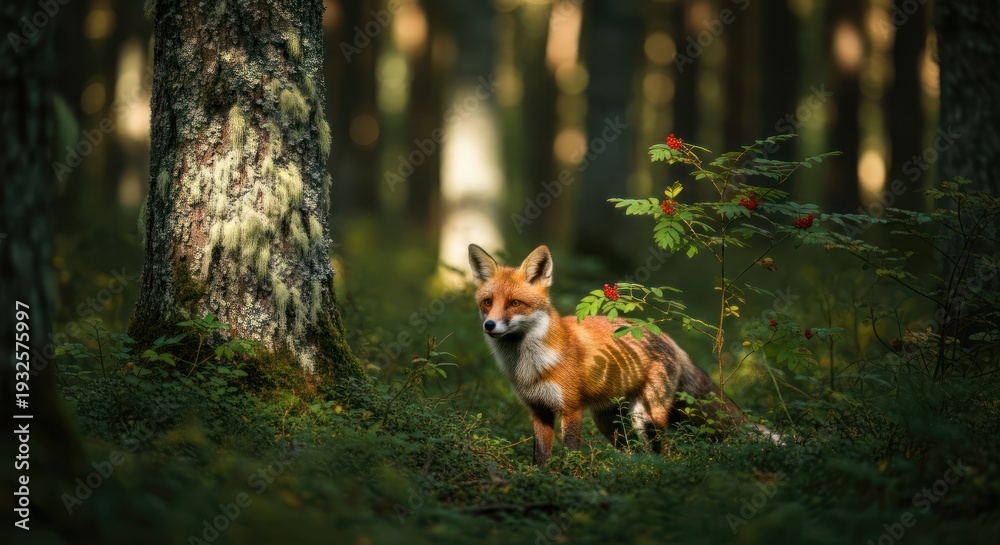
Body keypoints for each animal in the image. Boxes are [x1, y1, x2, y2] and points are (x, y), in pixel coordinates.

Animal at [469, 243, 768, 466]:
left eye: (515, 303)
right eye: (487, 303)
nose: (489, 326)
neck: (531, 365)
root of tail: (666, 337)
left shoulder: (571, 409)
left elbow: (570, 454)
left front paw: (568, 479)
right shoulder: (539, 411)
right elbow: (540, 457)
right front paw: (542, 479)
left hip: (647, 417)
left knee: (662, 453)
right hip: (610, 424)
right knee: (634, 454)